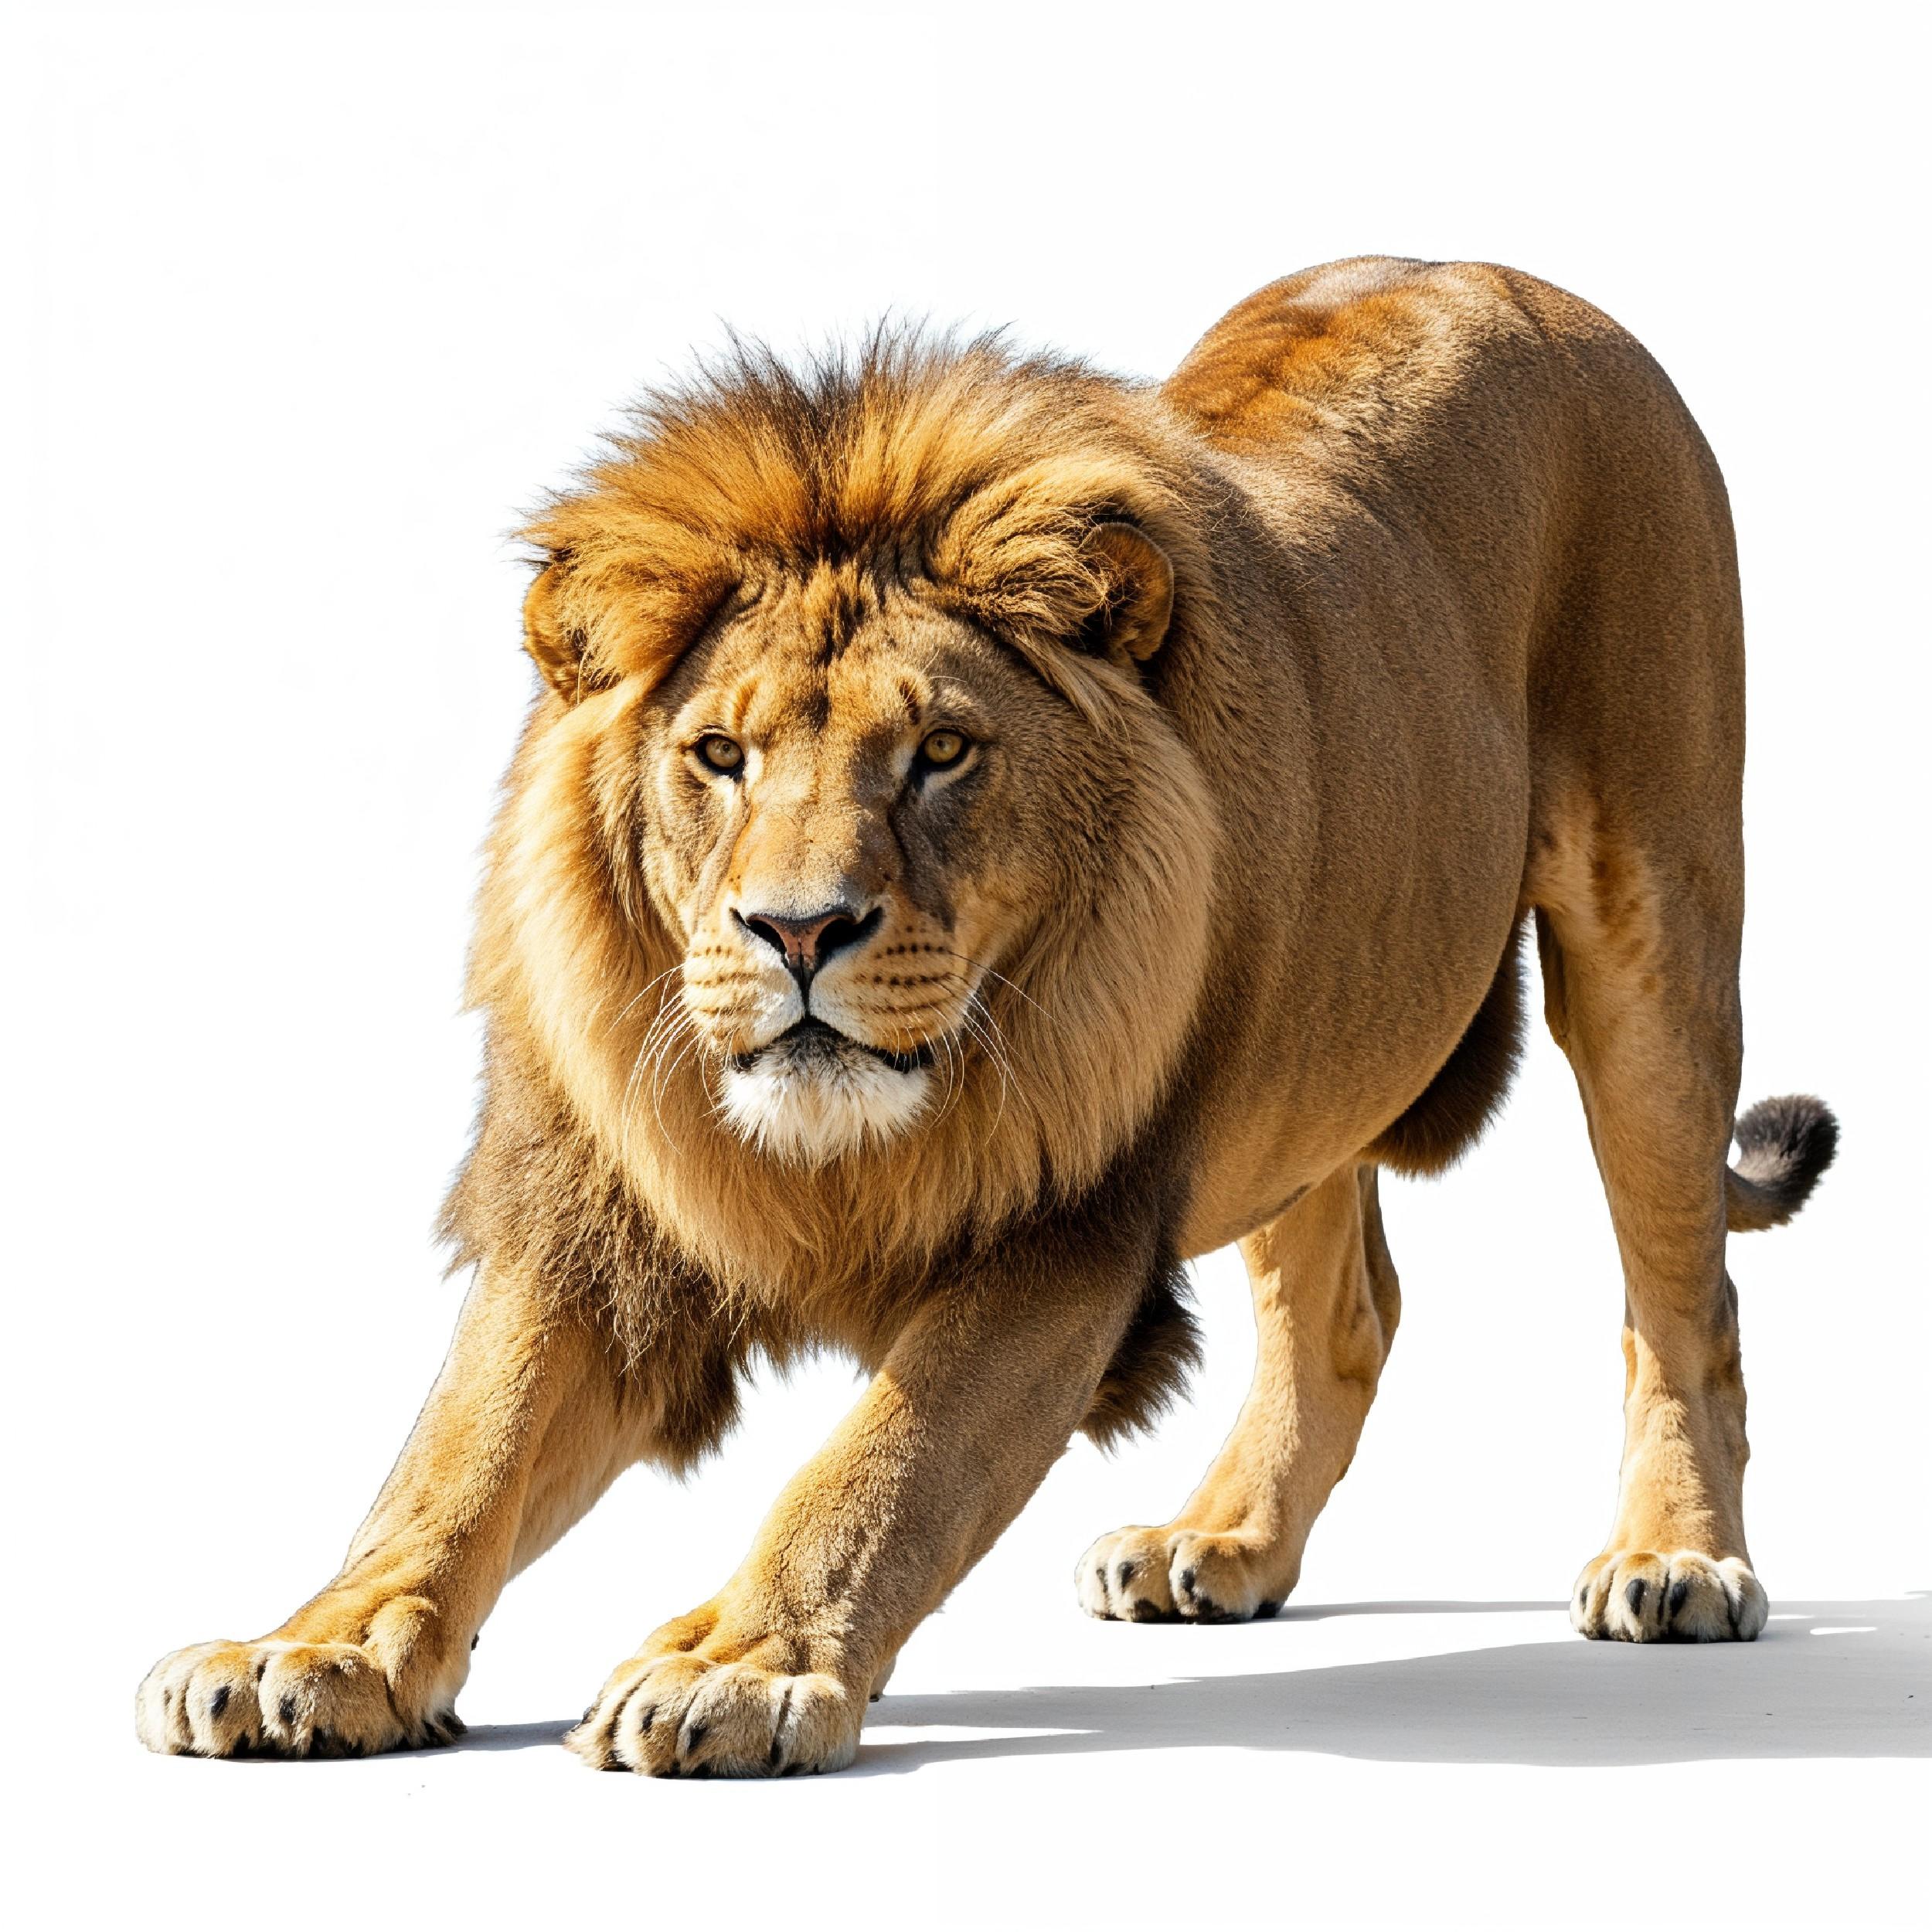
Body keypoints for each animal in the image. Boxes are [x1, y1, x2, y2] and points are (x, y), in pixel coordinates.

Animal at [136, 257, 1837, 1776]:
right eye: (718, 756)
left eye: (941, 751)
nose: (799, 930)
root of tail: (1509, 278)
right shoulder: (598, 1213)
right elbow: (455, 1455)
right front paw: (313, 1646)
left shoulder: (1063, 1224)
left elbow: (885, 1462)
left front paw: (735, 1665)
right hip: (1301, 1033)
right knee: (1346, 1305)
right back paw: (1221, 1540)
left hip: (1650, 935)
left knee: (1683, 1302)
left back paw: (1677, 1562)